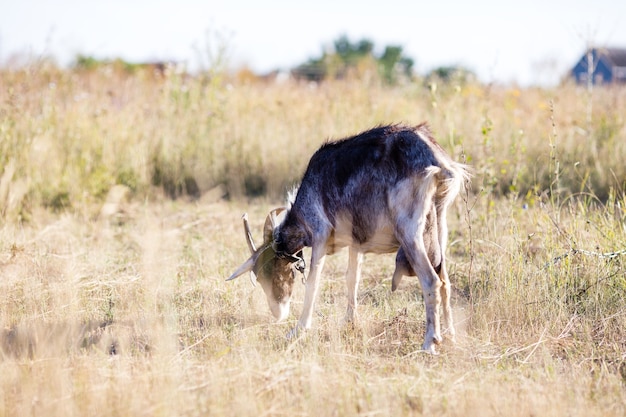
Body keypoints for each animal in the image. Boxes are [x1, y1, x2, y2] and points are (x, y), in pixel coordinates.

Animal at [227, 122, 466, 352]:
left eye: (269, 272)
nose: (278, 313)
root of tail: (437, 162)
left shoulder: (320, 234)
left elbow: (313, 282)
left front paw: (298, 329)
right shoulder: (356, 243)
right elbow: (352, 278)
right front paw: (349, 321)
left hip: (408, 229)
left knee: (431, 280)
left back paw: (429, 342)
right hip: (439, 224)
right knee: (445, 282)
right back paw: (451, 336)